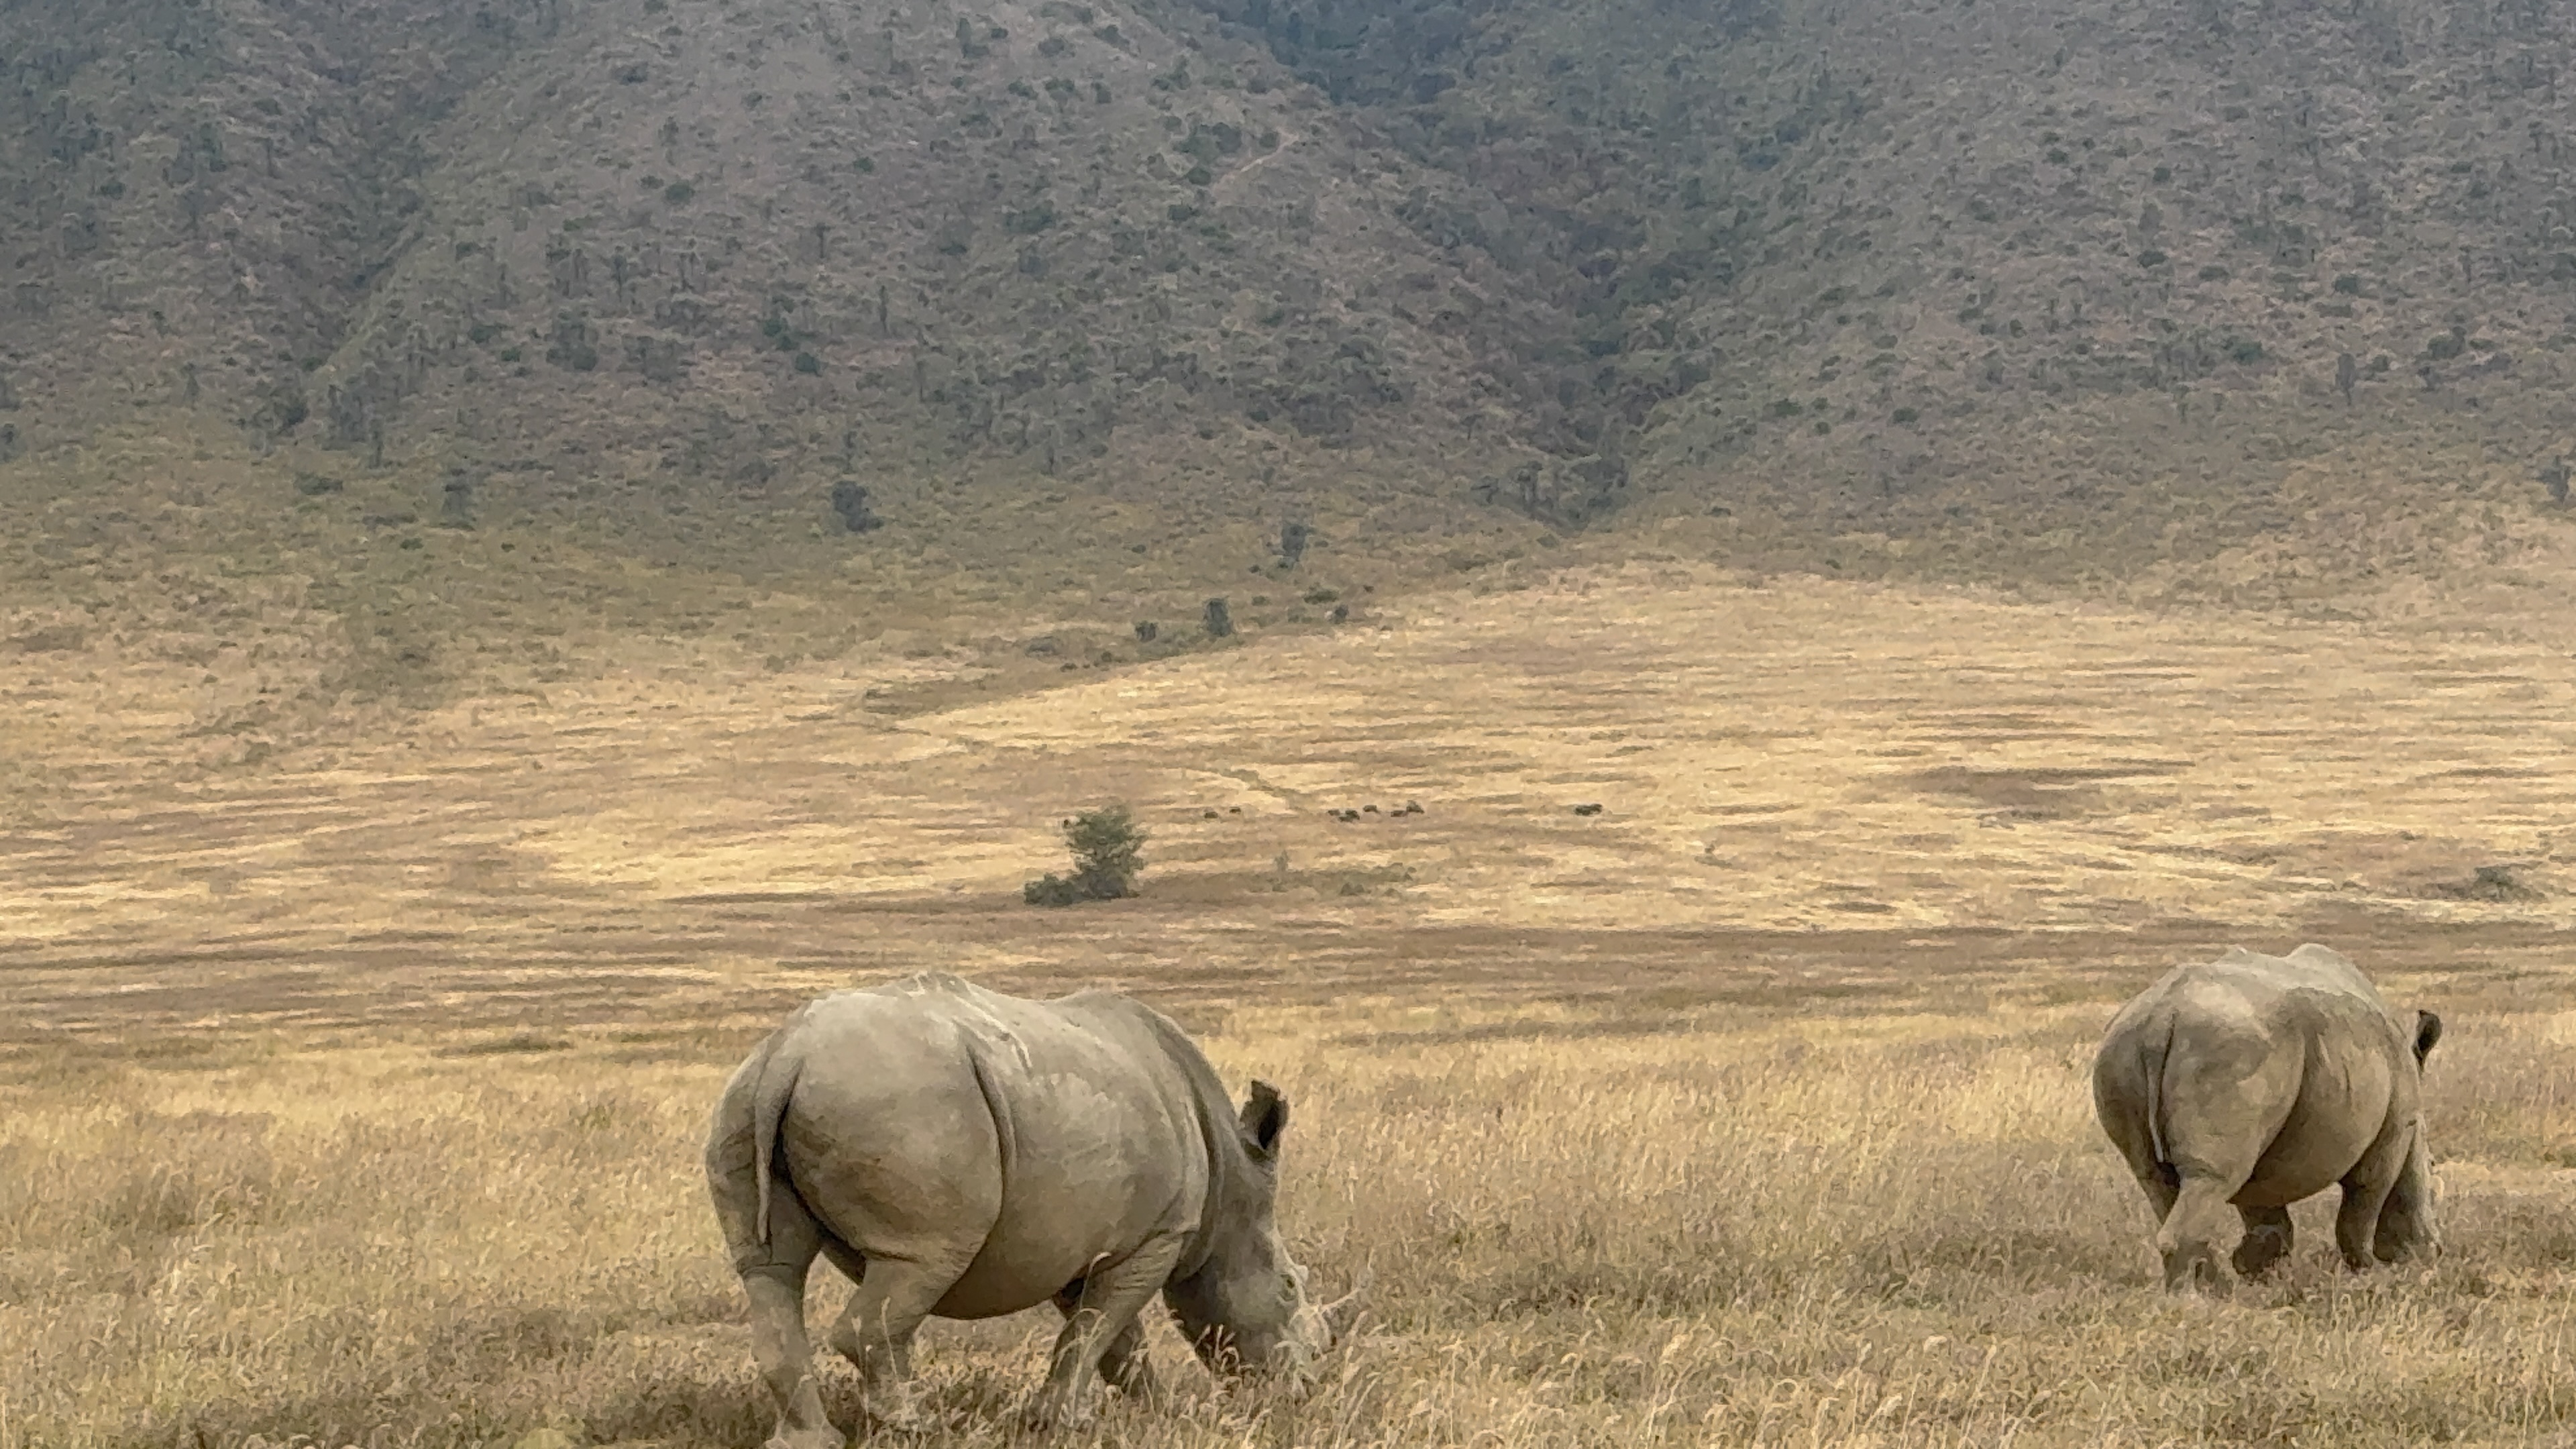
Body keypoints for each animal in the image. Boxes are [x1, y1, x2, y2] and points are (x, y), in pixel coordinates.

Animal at [704, 973, 1362, 1447]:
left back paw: (810, 1441)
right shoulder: (1158, 1236)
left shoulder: (1085, 1241)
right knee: (921, 1262)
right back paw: (920, 1426)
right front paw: (1065, 1423)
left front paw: (1156, 1413)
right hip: (902, 1106)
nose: (1300, 1392)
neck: (1232, 1187)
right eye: (1289, 1287)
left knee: (771, 1271)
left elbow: (1108, 1336)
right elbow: (1101, 1327)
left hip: (748, 1098)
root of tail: (789, 1054)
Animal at [2092, 943, 2443, 1291]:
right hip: (2229, 1052)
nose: (2436, 1251)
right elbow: (2362, 1208)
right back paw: (2194, 1299)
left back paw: (2216, 1291)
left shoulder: (2266, 1142)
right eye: (2433, 1168)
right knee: (2213, 1176)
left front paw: (2260, 1275)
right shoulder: (2393, 1135)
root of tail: (2162, 1017)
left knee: (2156, 1177)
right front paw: (2369, 1275)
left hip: (2123, 1050)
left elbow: (2268, 1220)